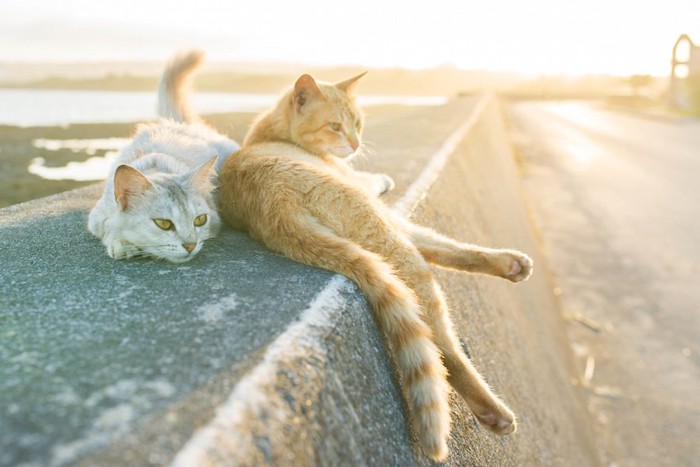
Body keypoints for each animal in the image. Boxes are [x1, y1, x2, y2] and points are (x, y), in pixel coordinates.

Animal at [87, 52, 239, 264]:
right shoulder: (97, 216)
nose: (190, 245)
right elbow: (109, 227)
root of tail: (178, 123)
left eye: (200, 220)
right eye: (163, 224)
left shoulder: (215, 219)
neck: (158, 166)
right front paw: (123, 244)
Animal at [217, 73, 532, 460]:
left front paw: (508, 264)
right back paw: (492, 412)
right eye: (335, 126)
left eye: (358, 123)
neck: (270, 133)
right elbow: (438, 241)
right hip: (388, 241)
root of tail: (271, 202)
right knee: (441, 344)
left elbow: (444, 246)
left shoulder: (395, 218)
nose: (355, 144)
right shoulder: (377, 203)